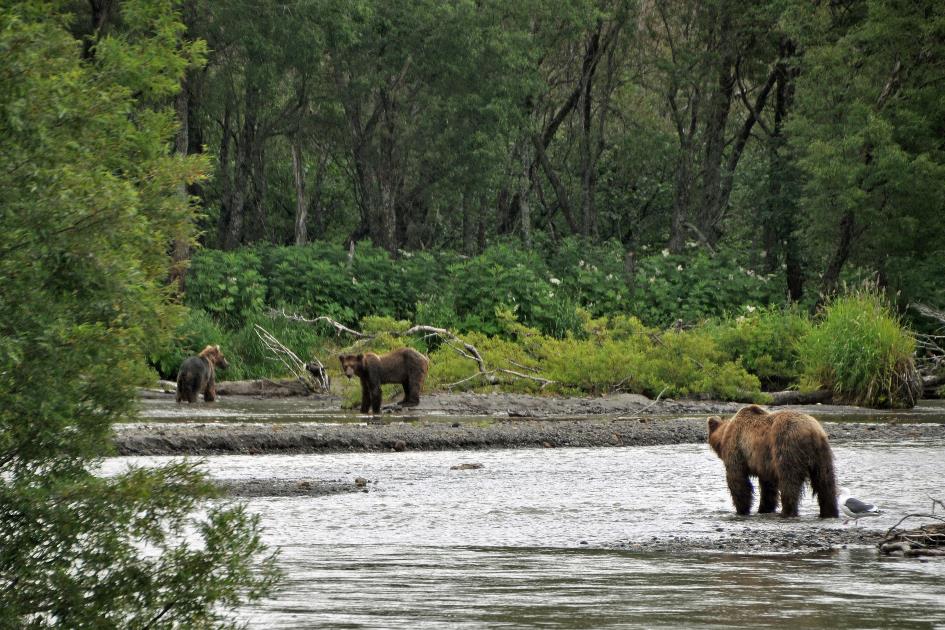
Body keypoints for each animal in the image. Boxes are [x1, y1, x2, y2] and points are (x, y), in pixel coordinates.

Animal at [704, 404, 836, 520]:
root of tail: (811, 431)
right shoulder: (765, 462)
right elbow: (768, 486)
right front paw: (764, 509)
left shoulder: (737, 448)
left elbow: (737, 480)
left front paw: (742, 510)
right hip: (822, 454)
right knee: (825, 482)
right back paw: (829, 512)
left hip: (786, 445)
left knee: (789, 481)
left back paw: (787, 512)